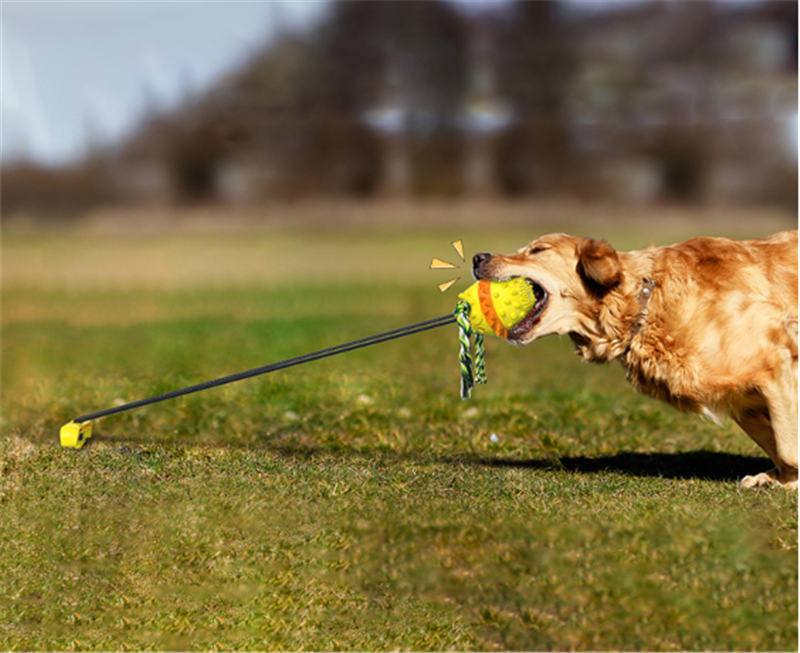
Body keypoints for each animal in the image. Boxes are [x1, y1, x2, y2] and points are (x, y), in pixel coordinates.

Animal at [472, 230, 796, 488]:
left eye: (538, 250)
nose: (477, 257)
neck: (647, 304)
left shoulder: (776, 363)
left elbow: (787, 448)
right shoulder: (742, 402)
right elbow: (779, 446)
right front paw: (779, 480)